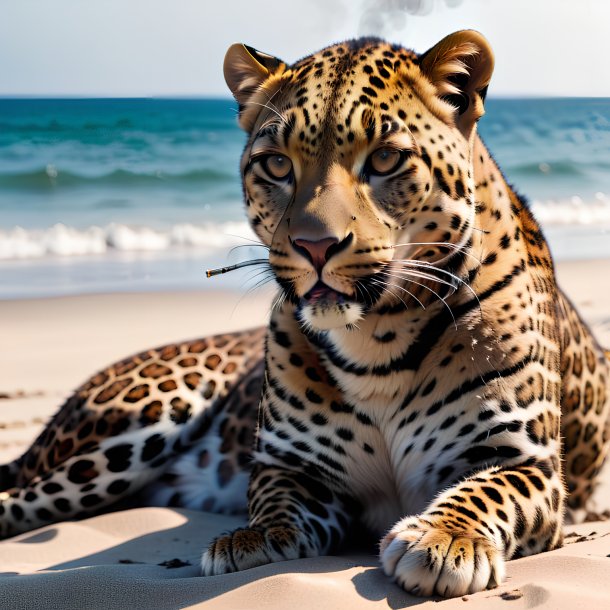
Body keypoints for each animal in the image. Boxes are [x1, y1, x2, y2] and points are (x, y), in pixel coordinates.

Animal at [1, 30, 608, 596]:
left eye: (385, 158)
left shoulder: (524, 461)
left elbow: (484, 492)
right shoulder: (291, 465)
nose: (315, 246)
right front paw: (252, 537)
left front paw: (444, 539)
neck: (378, 336)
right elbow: (274, 500)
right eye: (276, 165)